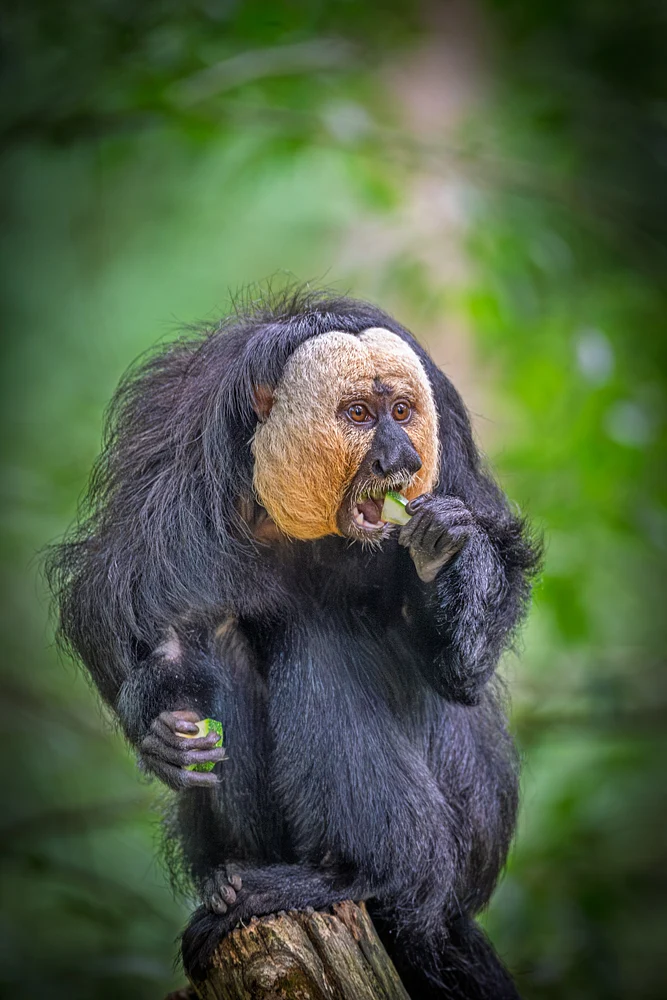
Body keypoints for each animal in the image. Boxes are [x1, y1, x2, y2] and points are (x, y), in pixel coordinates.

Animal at [47, 289, 540, 999]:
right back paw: (235, 880)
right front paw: (160, 729)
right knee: (225, 641)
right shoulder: (174, 447)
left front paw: (445, 550)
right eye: (359, 415)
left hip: (465, 816)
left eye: (401, 412)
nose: (402, 462)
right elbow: (127, 603)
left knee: (320, 640)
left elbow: (461, 670)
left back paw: (358, 875)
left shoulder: (447, 438)